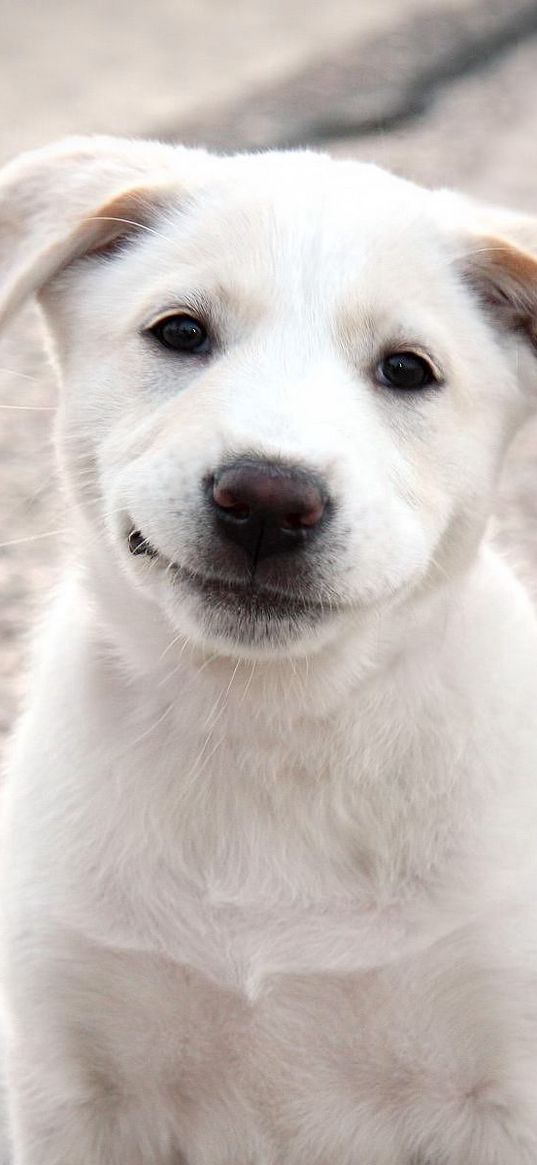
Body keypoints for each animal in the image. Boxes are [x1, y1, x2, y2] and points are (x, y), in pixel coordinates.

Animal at [1, 138, 535, 1165]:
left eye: (406, 369)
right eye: (179, 332)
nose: (267, 498)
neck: (265, 727)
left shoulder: (502, 1082)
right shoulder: (71, 1089)